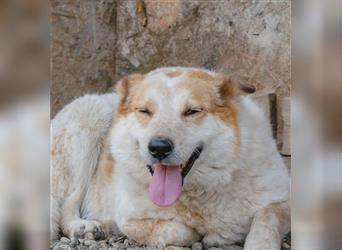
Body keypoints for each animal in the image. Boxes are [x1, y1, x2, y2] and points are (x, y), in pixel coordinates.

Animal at [50, 66, 290, 248]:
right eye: (145, 111)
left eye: (192, 111)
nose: (158, 148)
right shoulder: (130, 218)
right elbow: (179, 231)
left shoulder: (281, 200)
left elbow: (266, 220)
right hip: (91, 118)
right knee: (67, 207)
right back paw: (82, 226)